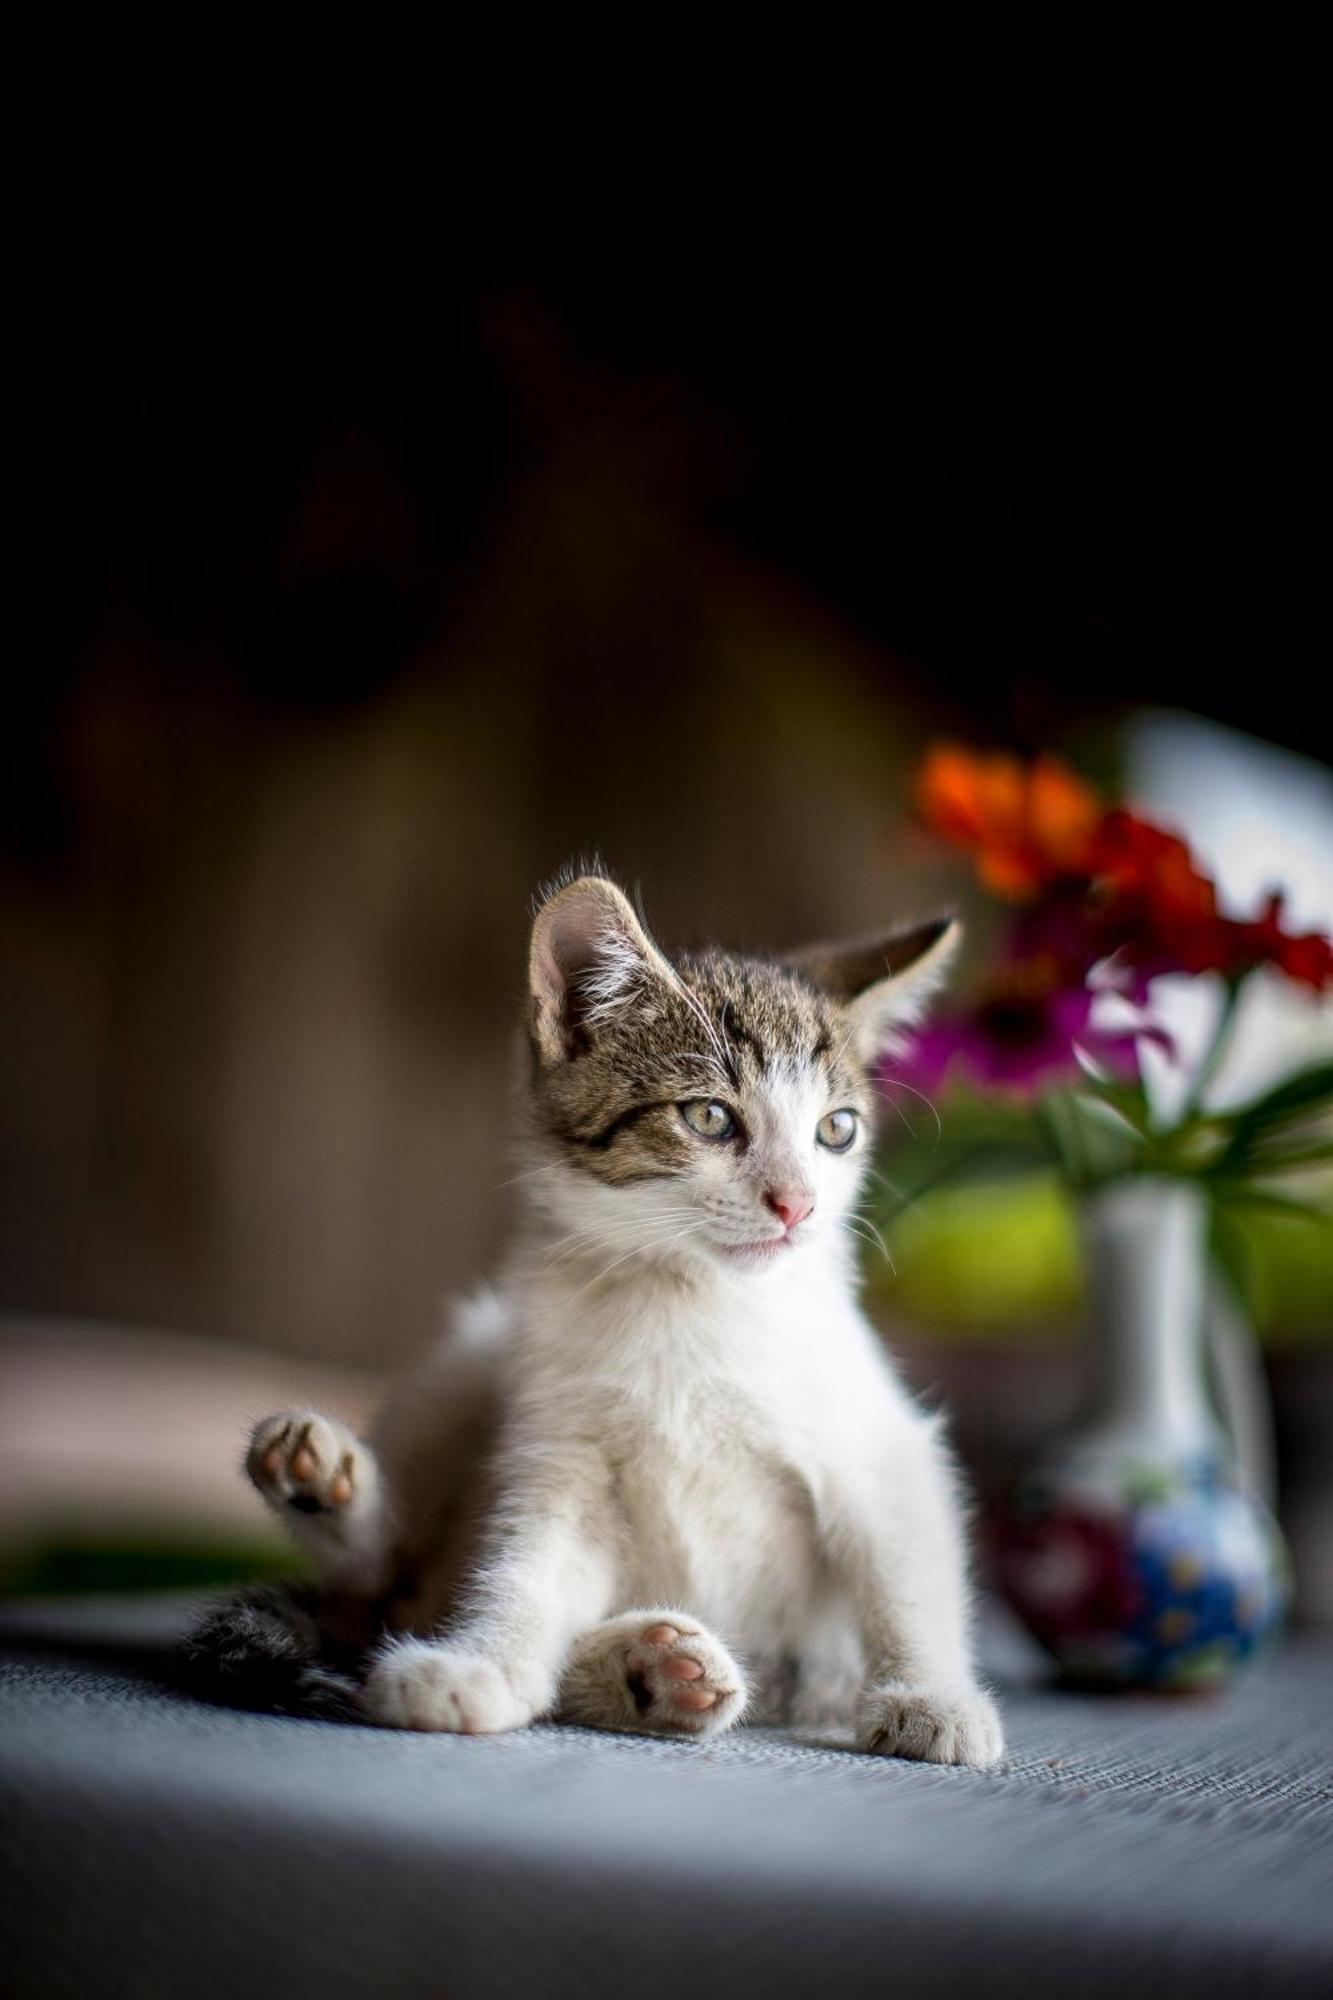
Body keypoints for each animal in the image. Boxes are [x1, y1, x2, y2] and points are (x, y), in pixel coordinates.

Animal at [187, 876, 996, 1768]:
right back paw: (323, 1482)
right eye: (709, 1117)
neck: (691, 1299)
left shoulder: (876, 1447)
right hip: (473, 1355)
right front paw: (479, 1666)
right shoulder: (562, 1459)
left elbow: (904, 1573)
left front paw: (931, 1698)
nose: (797, 1204)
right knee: (390, 1586)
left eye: (835, 1130)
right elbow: (524, 1571)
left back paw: (654, 1672)